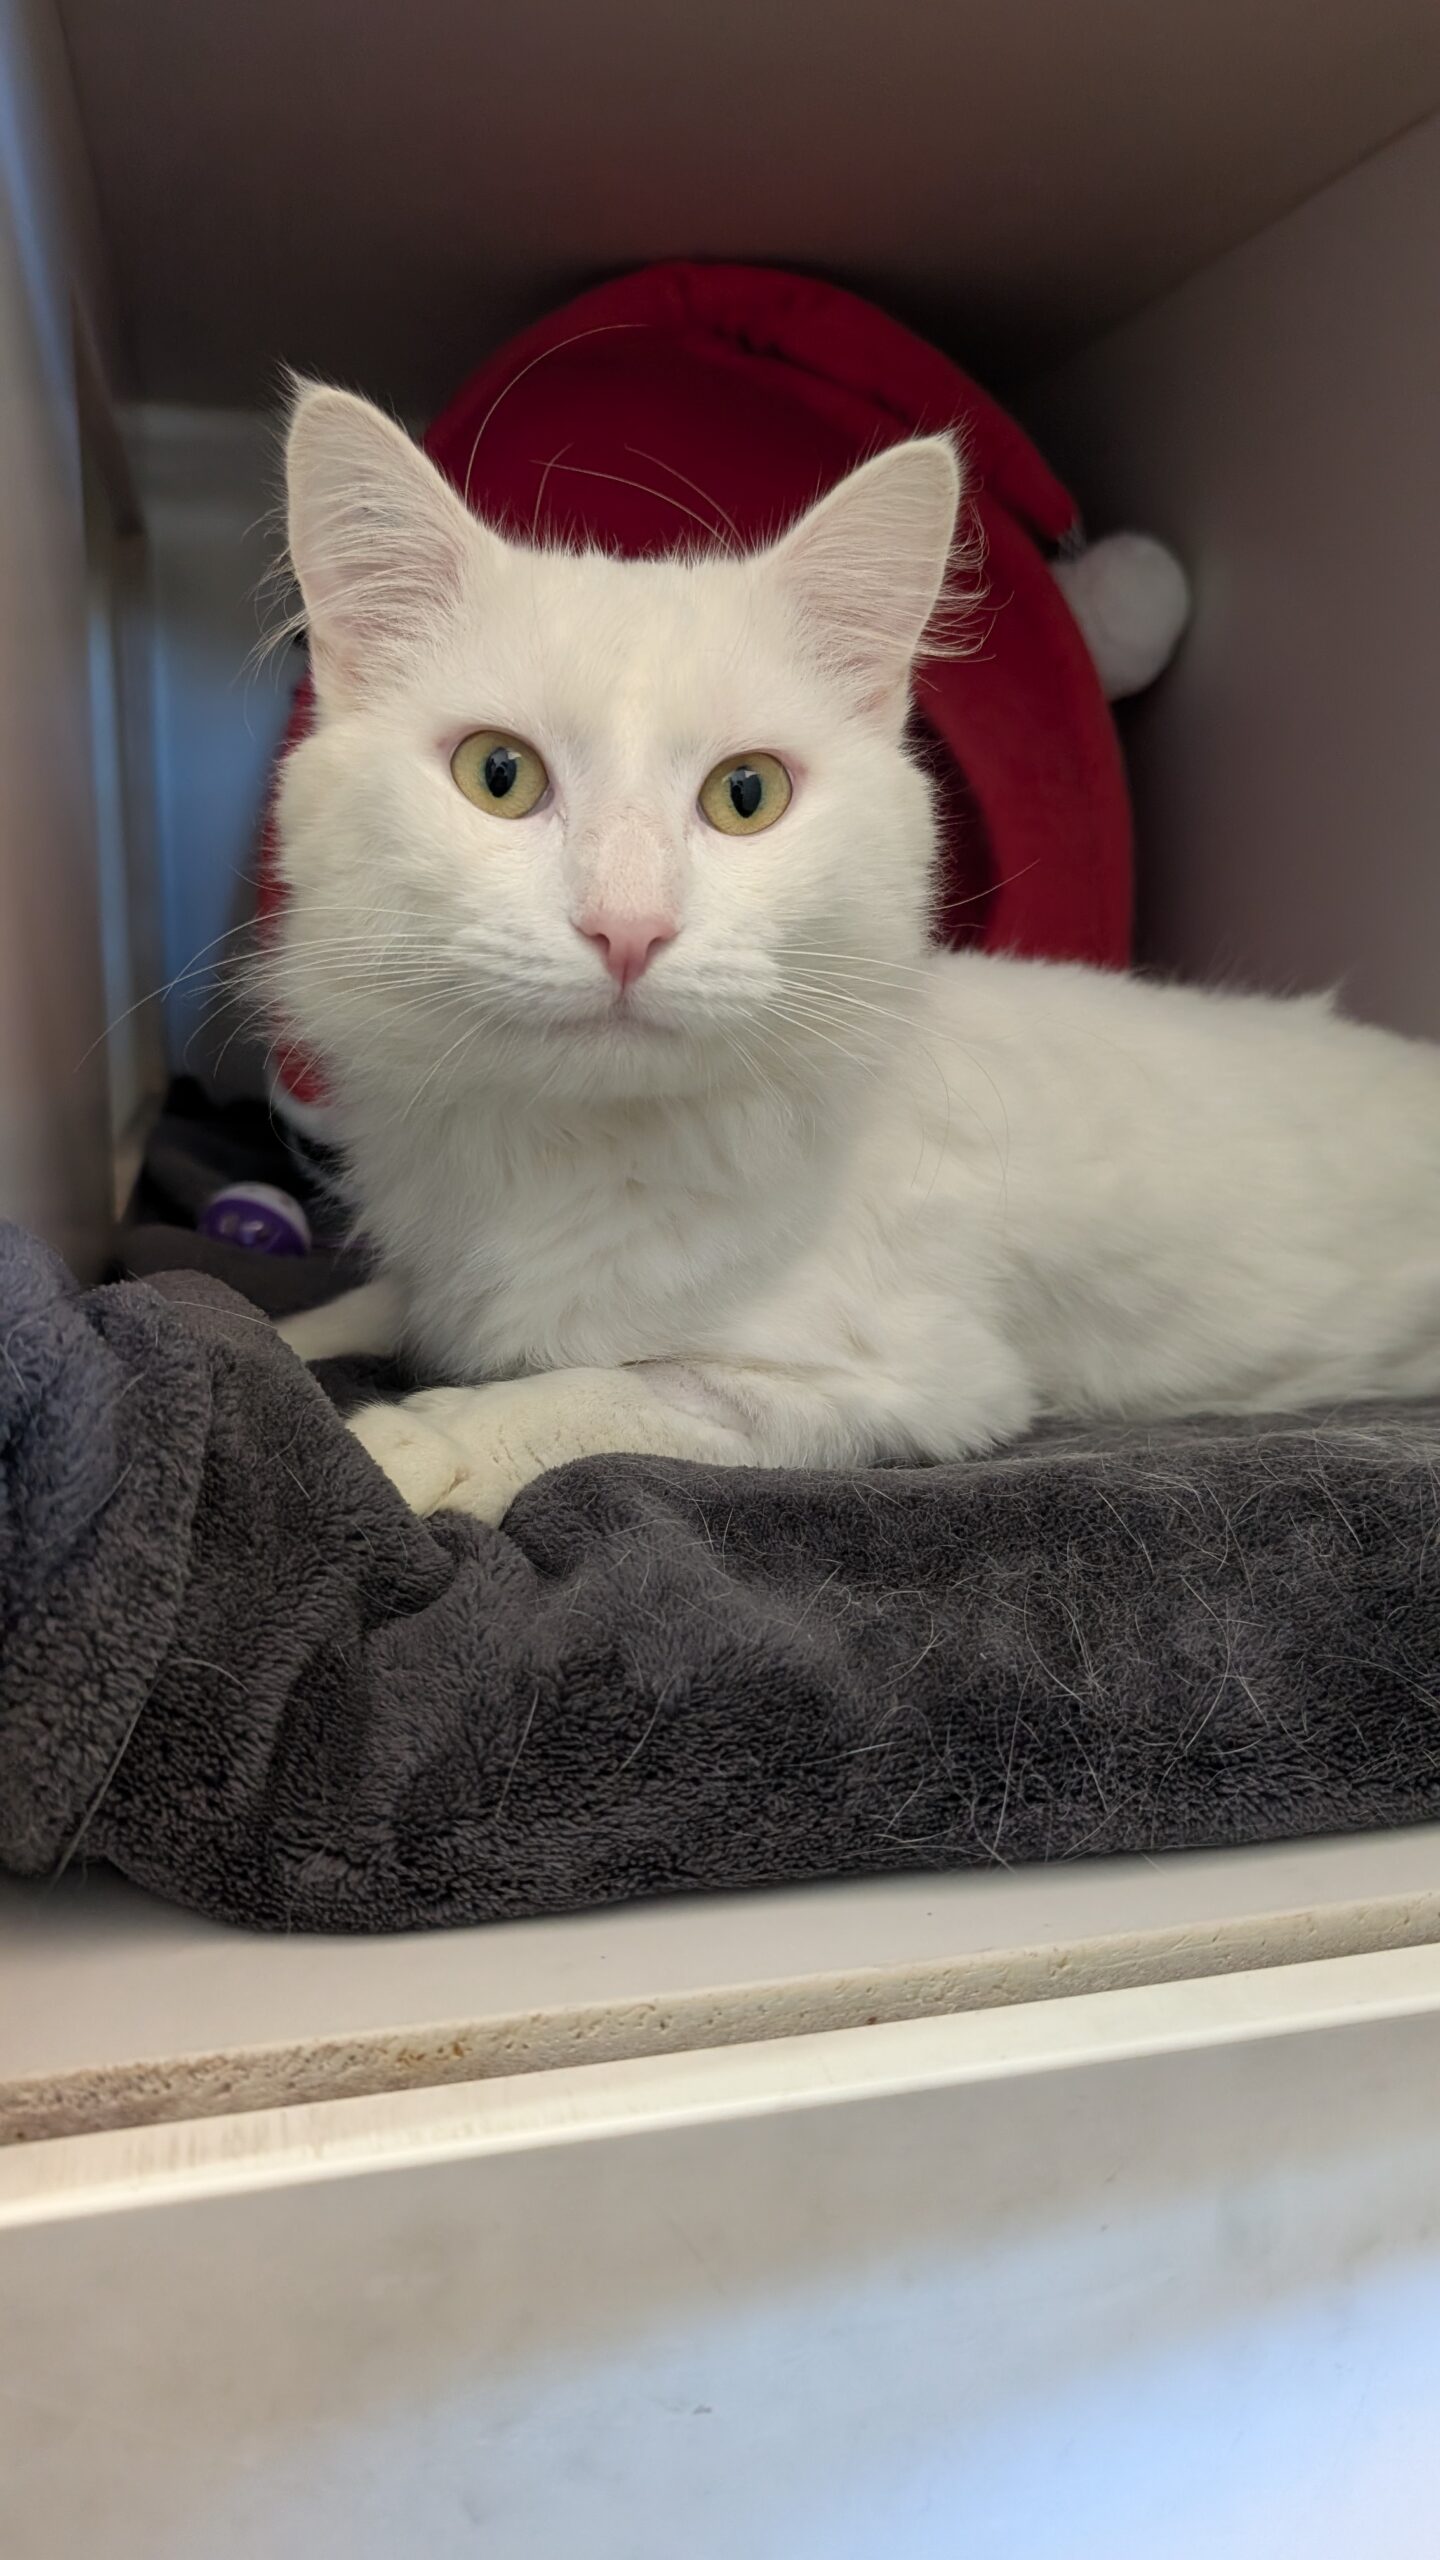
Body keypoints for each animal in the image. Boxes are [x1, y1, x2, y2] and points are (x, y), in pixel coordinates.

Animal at [270, 383, 1440, 1525]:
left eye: (747, 795)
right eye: (498, 774)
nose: (629, 927)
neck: (572, 1146)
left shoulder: (880, 1382)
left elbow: (594, 1390)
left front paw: (412, 1443)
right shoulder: (431, 1263)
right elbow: (357, 1306)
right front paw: (277, 1334)